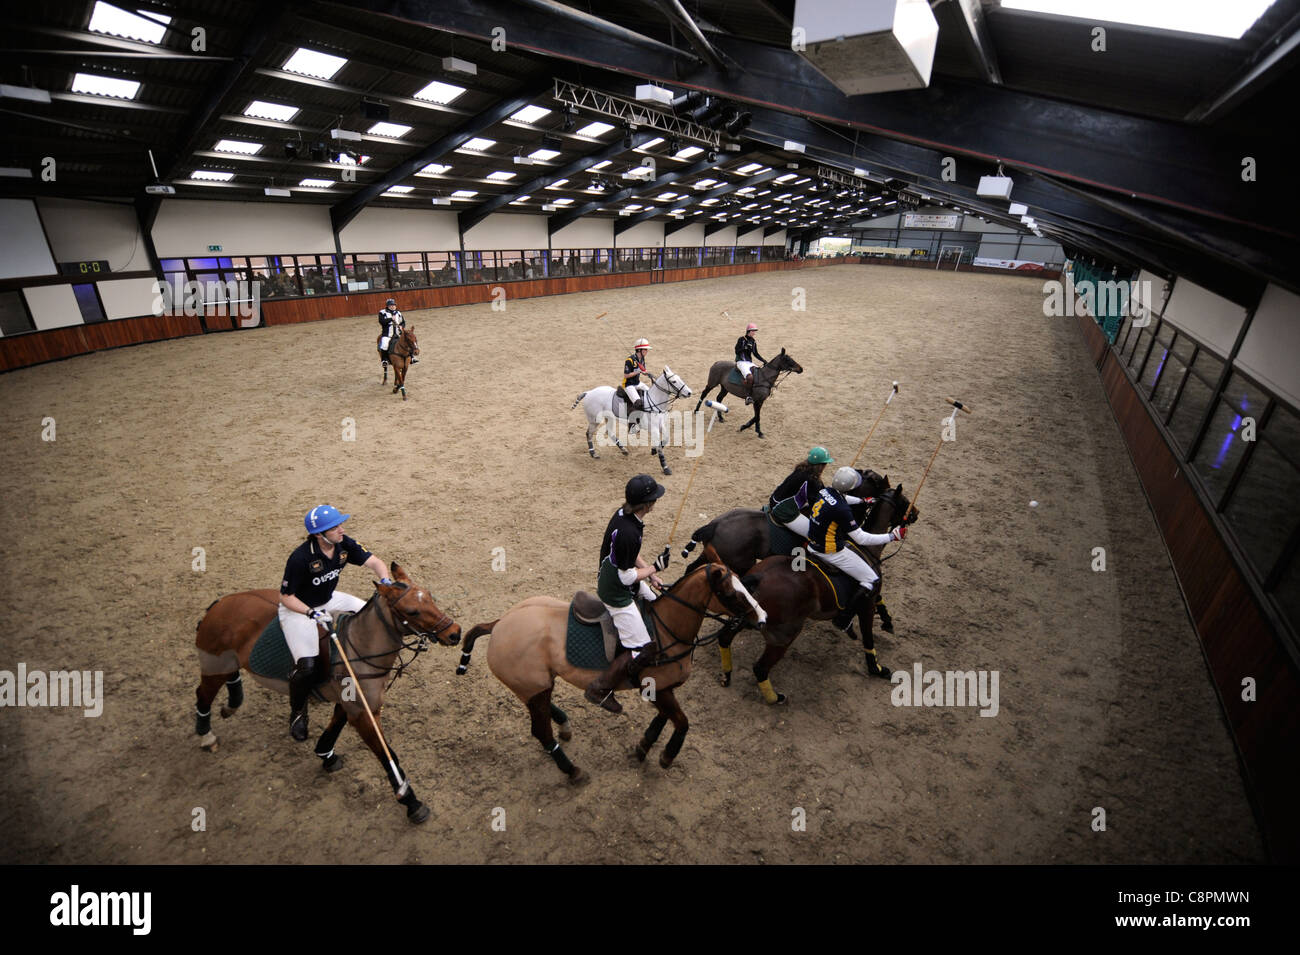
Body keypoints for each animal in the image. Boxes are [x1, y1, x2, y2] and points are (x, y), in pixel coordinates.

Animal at [189, 563, 460, 826]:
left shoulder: (350, 705)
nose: (455, 633)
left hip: (227, 664)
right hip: (214, 667)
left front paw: (326, 756)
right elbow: (387, 755)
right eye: (412, 611)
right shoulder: (363, 714)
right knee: (202, 695)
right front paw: (411, 802)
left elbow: (333, 729)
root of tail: (218, 604)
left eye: (430, 596)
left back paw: (231, 706)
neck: (361, 649)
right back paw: (207, 736)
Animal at [454, 566, 759, 784]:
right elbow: (682, 722)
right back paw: (573, 771)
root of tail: (498, 624)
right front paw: (666, 756)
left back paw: (564, 724)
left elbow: (664, 719)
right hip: (534, 686)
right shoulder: (656, 687)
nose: (762, 618)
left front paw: (643, 747)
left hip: (536, 684)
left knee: (542, 709)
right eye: (732, 594)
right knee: (541, 731)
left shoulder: (663, 689)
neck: (669, 628)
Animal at [681, 470, 904, 634]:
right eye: (900, 499)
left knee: (693, 568)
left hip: (714, 554)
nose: (911, 515)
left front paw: (886, 619)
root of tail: (713, 525)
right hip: (739, 562)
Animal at [712, 485, 915, 701]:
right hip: (784, 634)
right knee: (760, 668)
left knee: (724, 637)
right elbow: (869, 637)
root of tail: (758, 578)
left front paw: (885, 622)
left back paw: (727, 675)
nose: (916, 513)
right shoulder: (867, 602)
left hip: (747, 615)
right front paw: (877, 668)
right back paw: (776, 698)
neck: (868, 550)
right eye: (905, 502)